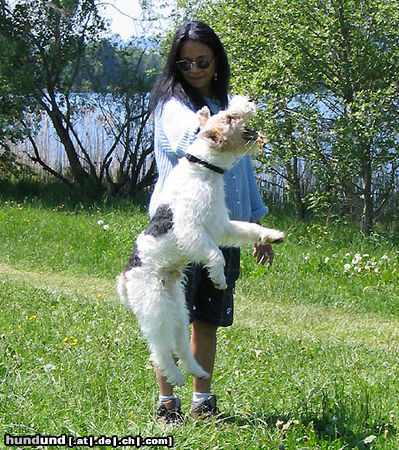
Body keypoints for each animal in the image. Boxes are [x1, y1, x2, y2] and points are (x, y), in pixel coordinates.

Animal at [117, 96, 286, 386]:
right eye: (229, 117)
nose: (250, 100)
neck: (203, 168)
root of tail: (126, 277)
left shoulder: (222, 225)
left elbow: (250, 228)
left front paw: (272, 236)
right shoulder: (191, 230)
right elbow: (214, 254)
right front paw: (218, 278)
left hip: (177, 306)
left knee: (181, 344)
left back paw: (196, 370)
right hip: (156, 307)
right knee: (159, 350)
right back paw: (175, 376)